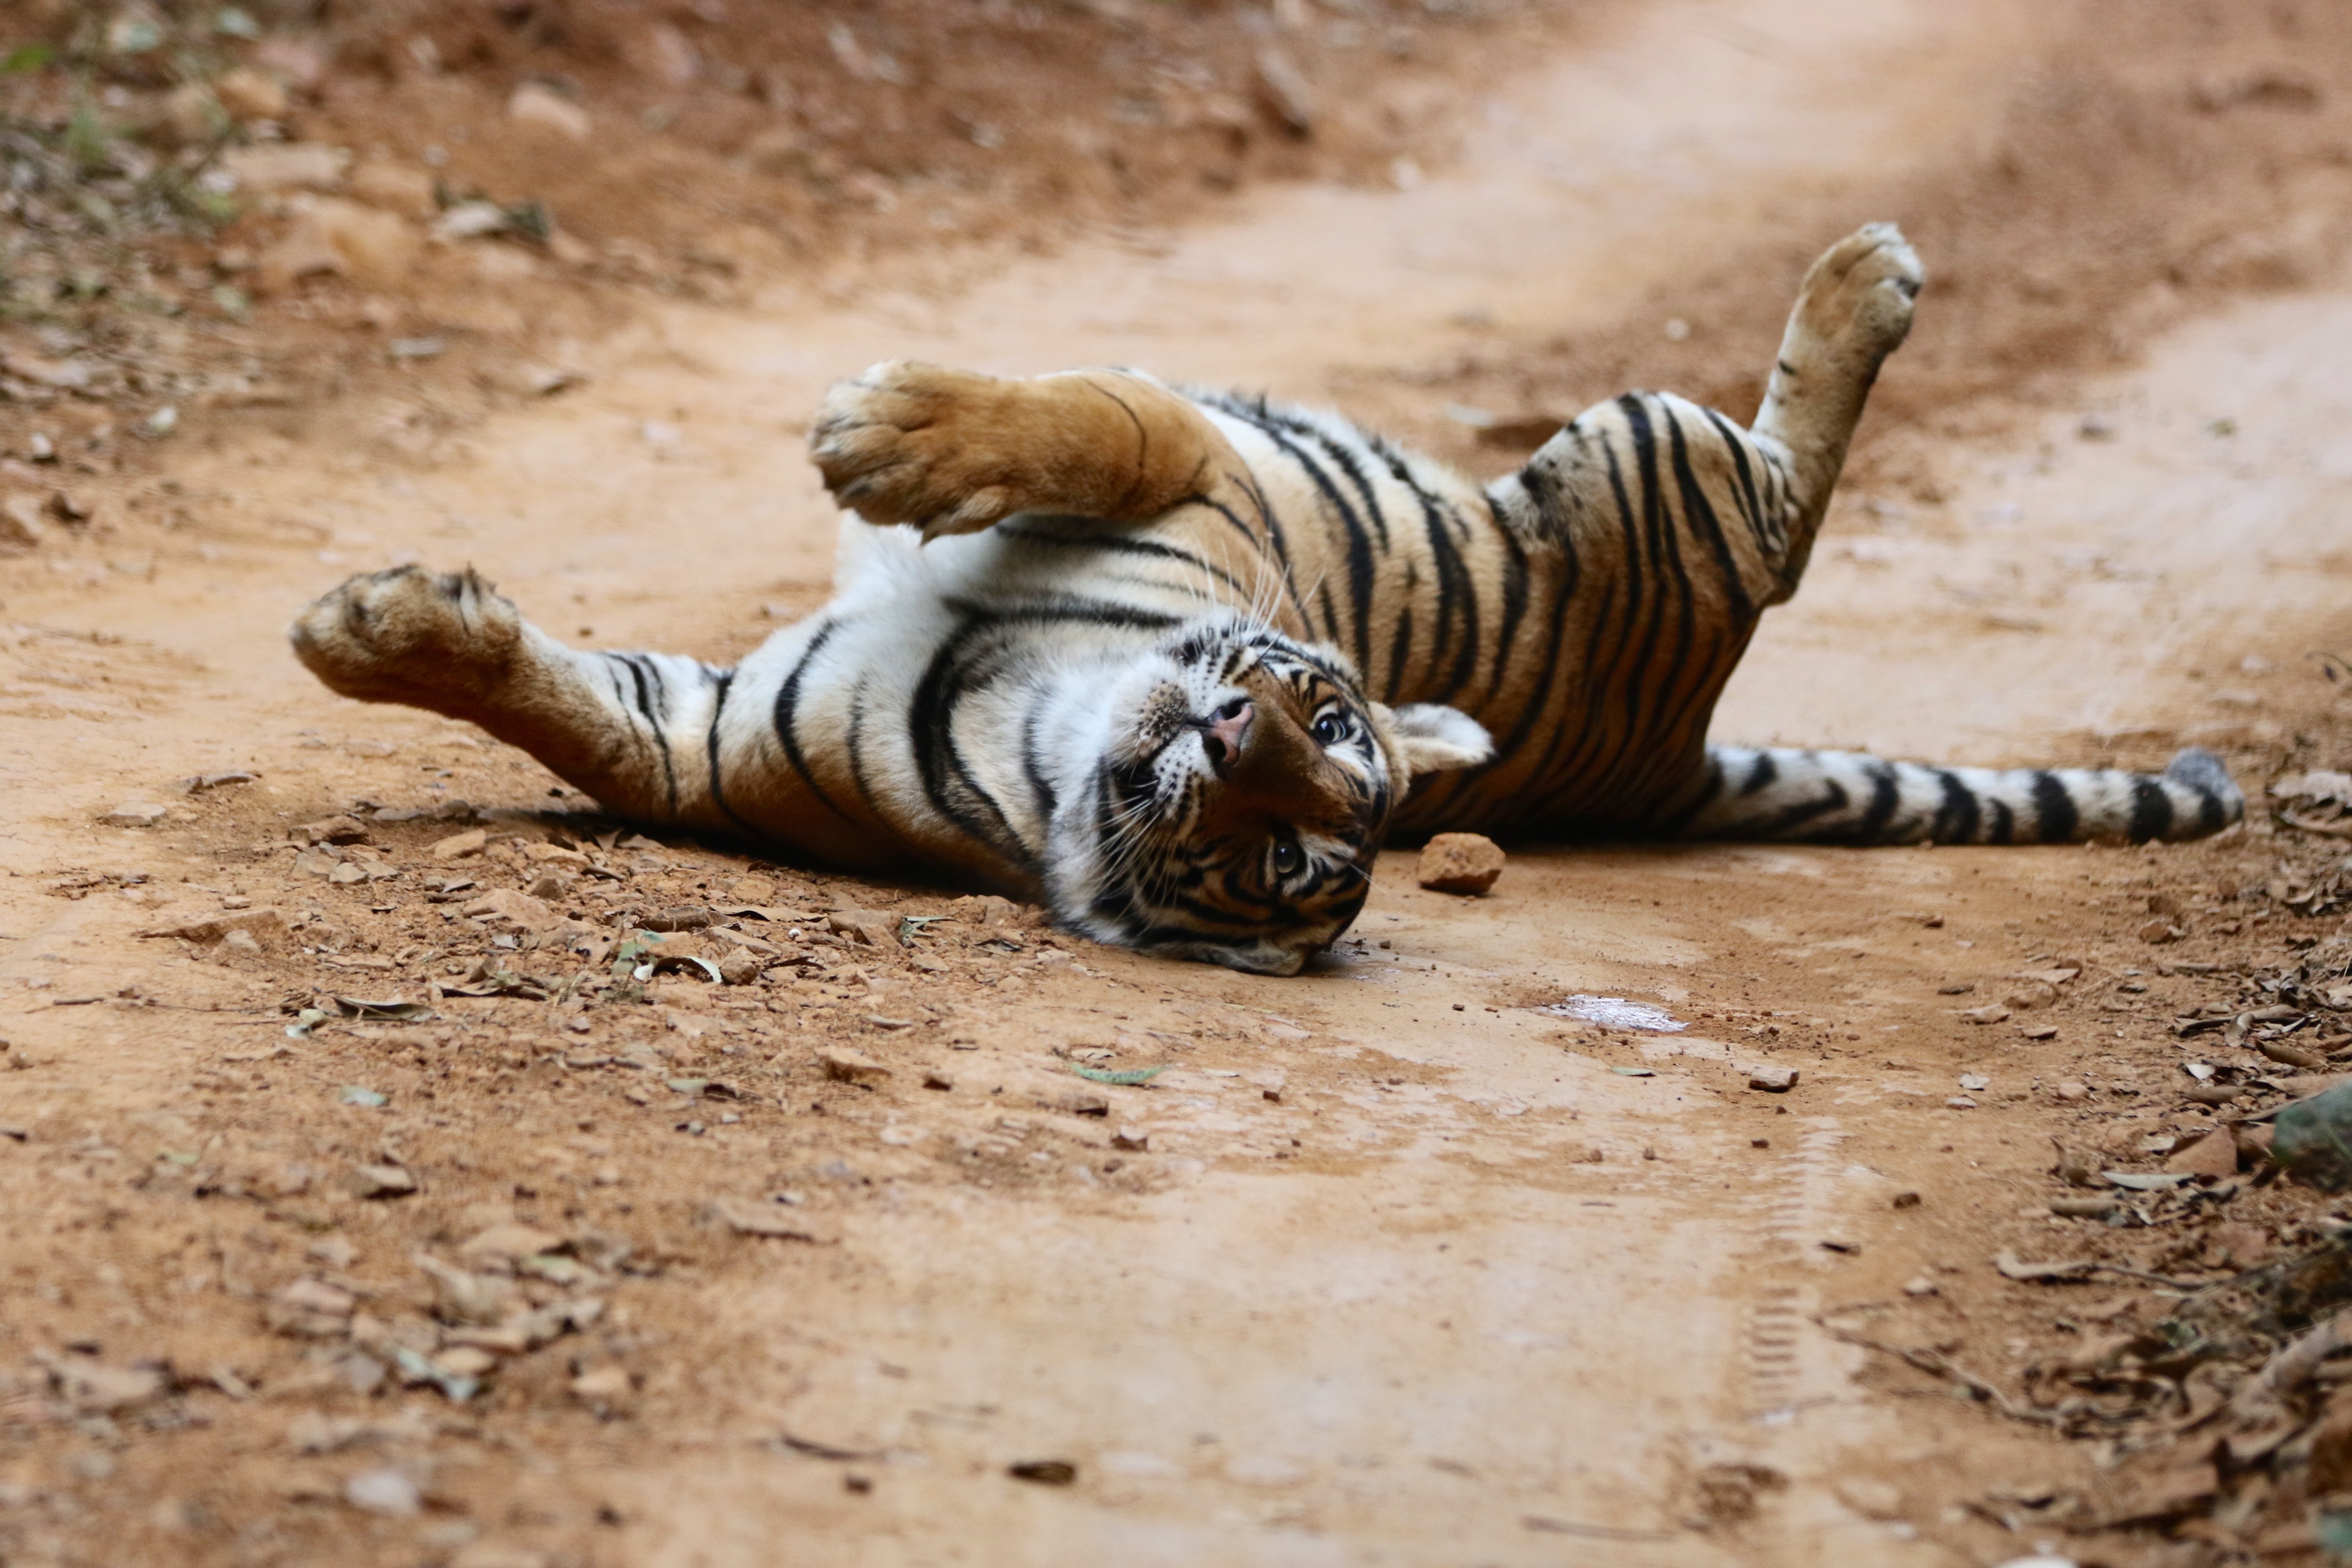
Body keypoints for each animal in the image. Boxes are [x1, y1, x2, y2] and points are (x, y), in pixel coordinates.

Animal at [289, 227, 2239, 973]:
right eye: (1322, 713)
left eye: (1291, 839)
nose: (1229, 733)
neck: (1034, 713)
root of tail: (1658, 760)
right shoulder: (703, 736)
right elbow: (549, 700)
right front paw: (370, 626)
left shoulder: (1194, 477)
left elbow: (1090, 407)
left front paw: (880, 429)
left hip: (1647, 447)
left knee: (1781, 513)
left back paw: (1867, 272)